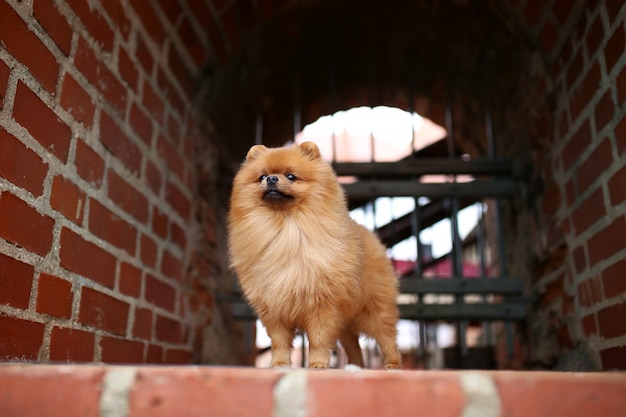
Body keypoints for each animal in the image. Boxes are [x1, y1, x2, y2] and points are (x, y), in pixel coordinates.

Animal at [227, 141, 398, 368]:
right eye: (262, 176)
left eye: (291, 176)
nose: (272, 179)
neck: (285, 229)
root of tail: (371, 236)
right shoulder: (273, 308)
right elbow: (279, 341)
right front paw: (279, 363)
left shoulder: (323, 305)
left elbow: (319, 339)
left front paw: (317, 364)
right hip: (347, 322)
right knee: (353, 345)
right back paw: (355, 366)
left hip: (376, 310)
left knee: (387, 338)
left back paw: (392, 364)